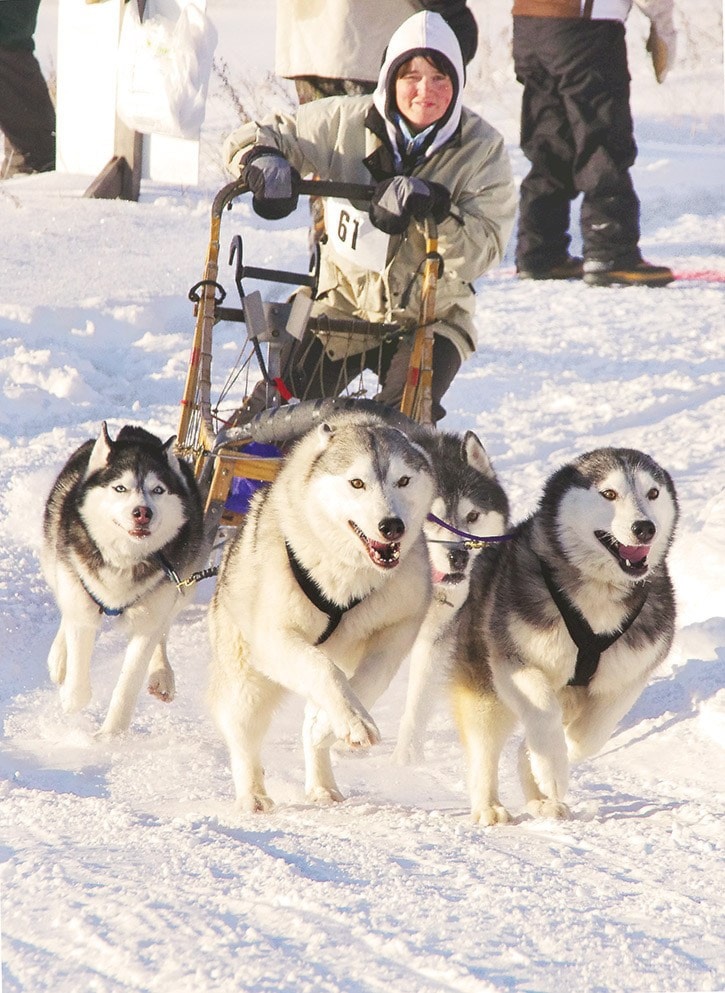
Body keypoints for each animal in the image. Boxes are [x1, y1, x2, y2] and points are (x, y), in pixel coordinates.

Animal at [41, 422, 204, 732]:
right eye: (120, 488)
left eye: (158, 490)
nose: (142, 512)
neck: (124, 558)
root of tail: (133, 431)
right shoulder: (81, 598)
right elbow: (78, 684)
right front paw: (71, 700)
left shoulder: (152, 614)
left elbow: (128, 686)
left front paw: (109, 736)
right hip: (56, 563)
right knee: (67, 610)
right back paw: (59, 657)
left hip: (183, 586)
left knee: (163, 630)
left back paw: (162, 674)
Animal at [209, 406, 436, 808]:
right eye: (357, 483)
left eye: (404, 480)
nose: (391, 526)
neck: (346, 576)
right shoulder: (274, 639)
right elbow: (322, 670)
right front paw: (352, 720)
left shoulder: (397, 629)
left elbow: (369, 681)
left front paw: (336, 723)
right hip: (246, 684)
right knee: (243, 737)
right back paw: (252, 795)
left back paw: (322, 780)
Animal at [390, 428, 510, 768]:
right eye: (430, 518)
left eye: (473, 515)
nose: (459, 556)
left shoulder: (436, 633)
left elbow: (418, 700)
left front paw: (407, 755)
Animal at [452, 450, 680, 820]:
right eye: (609, 493)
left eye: (653, 493)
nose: (645, 528)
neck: (598, 595)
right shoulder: (512, 662)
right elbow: (544, 714)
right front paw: (552, 768)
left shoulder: (627, 679)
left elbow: (588, 737)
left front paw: (543, 762)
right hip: (485, 689)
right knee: (485, 745)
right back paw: (489, 806)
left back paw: (541, 795)